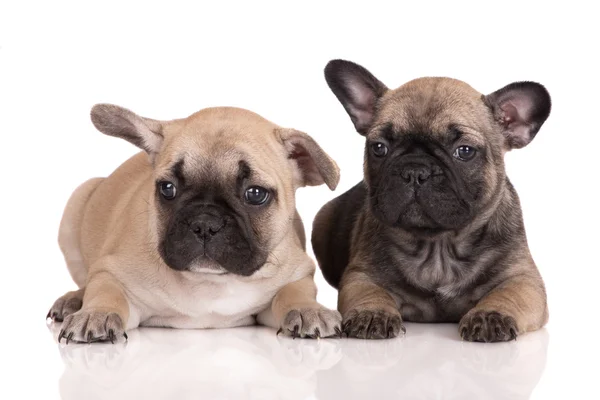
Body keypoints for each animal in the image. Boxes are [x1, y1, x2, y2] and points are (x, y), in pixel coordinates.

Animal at [48, 104, 342, 342]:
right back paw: (73, 301)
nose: (204, 224)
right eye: (167, 189)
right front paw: (95, 313)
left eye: (256, 194)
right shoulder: (112, 273)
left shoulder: (297, 274)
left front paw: (307, 309)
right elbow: (105, 291)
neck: (209, 283)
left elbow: (292, 293)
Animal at [312, 61, 552, 342]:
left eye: (465, 151)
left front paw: (490, 315)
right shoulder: (362, 275)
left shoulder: (523, 278)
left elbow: (510, 294)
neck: (438, 247)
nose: (415, 171)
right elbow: (370, 292)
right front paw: (372, 313)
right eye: (379, 148)